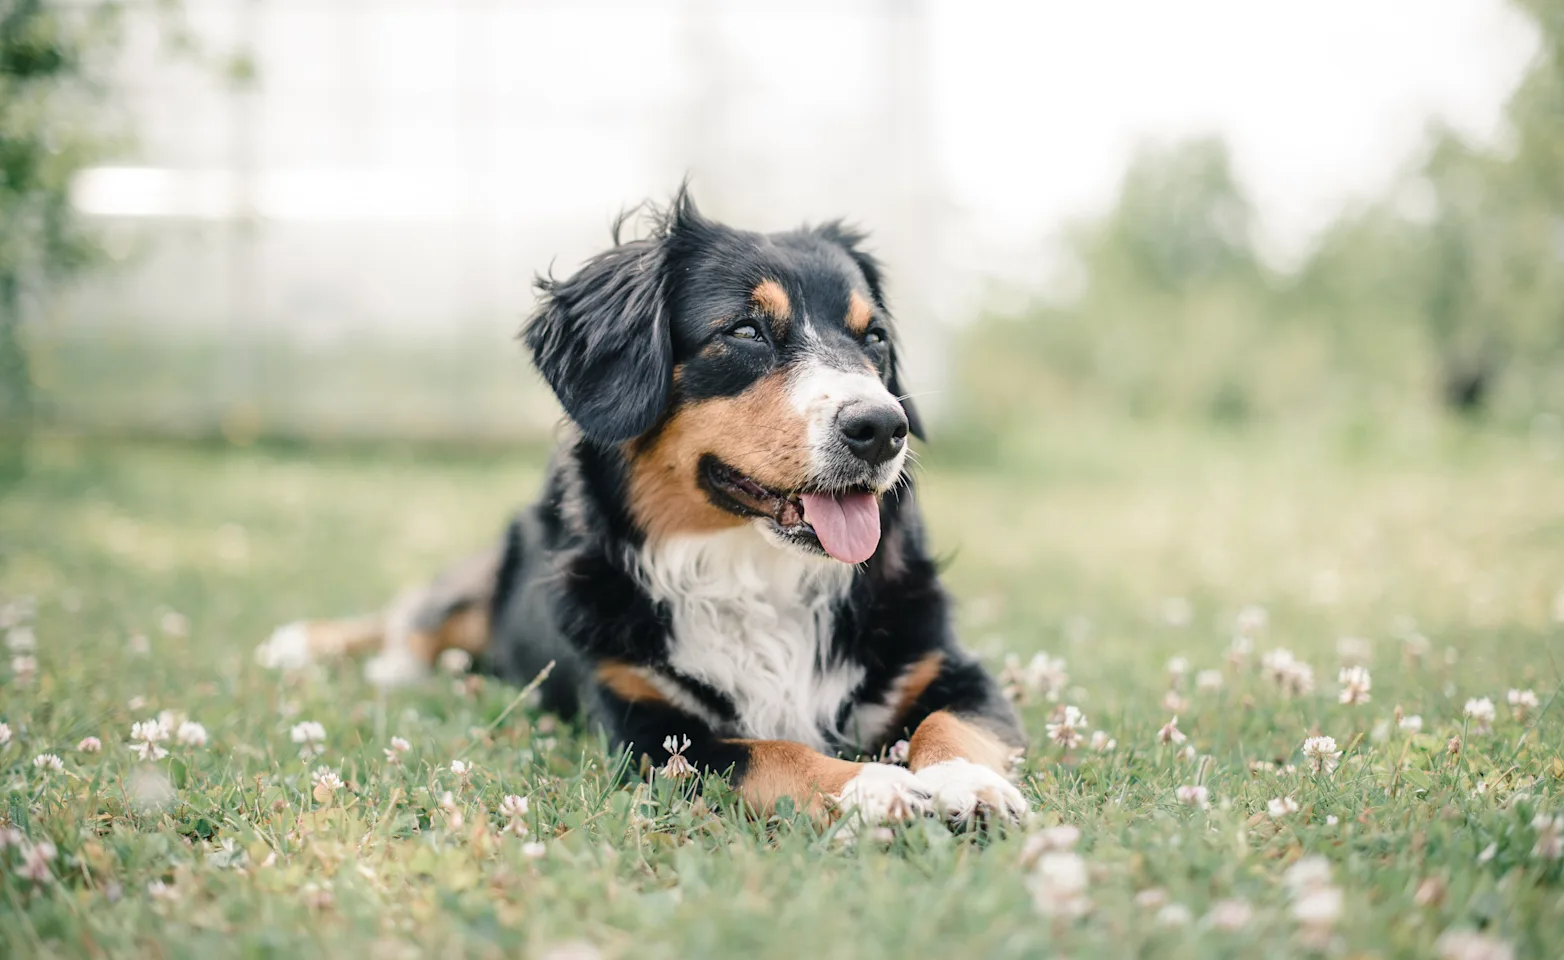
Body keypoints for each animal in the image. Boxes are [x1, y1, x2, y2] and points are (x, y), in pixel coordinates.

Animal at [262, 188, 1032, 825]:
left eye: (874, 338)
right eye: (746, 331)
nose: (881, 428)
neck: (754, 575)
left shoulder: (948, 666)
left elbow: (952, 725)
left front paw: (967, 783)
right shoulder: (649, 729)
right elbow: (770, 752)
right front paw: (870, 787)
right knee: (415, 616)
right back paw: (332, 649)